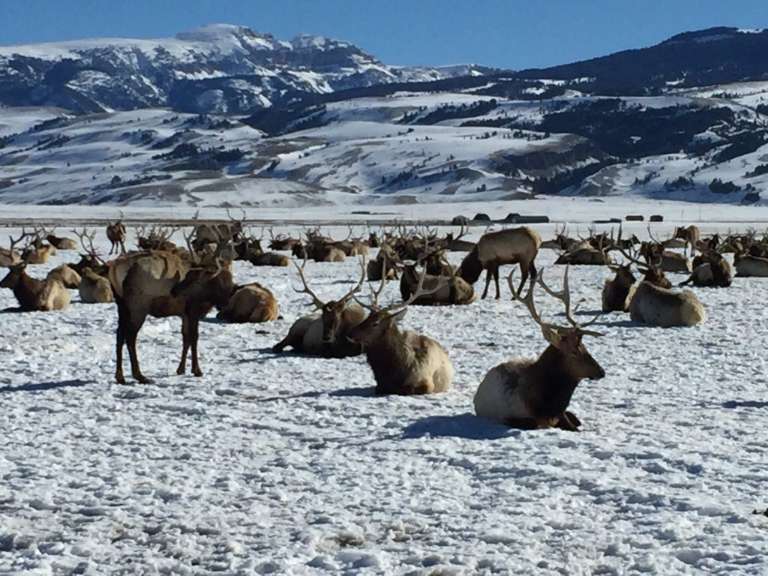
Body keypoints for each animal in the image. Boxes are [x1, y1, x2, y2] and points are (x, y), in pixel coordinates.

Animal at [108, 238, 234, 384]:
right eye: (190, 275)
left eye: (194, 276)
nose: (175, 291)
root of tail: (114, 267)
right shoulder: (193, 309)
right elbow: (194, 337)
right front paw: (197, 370)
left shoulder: (184, 313)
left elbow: (186, 338)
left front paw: (181, 369)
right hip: (138, 306)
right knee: (130, 337)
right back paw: (140, 376)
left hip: (122, 305)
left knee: (119, 334)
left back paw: (120, 376)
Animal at [347, 266, 454, 395]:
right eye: (367, 317)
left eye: (375, 323)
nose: (350, 333)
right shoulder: (379, 384)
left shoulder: (427, 382)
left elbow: (405, 389)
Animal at [473, 267, 604, 430]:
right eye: (574, 352)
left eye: (585, 347)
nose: (601, 371)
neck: (550, 406)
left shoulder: (562, 414)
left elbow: (575, 423)